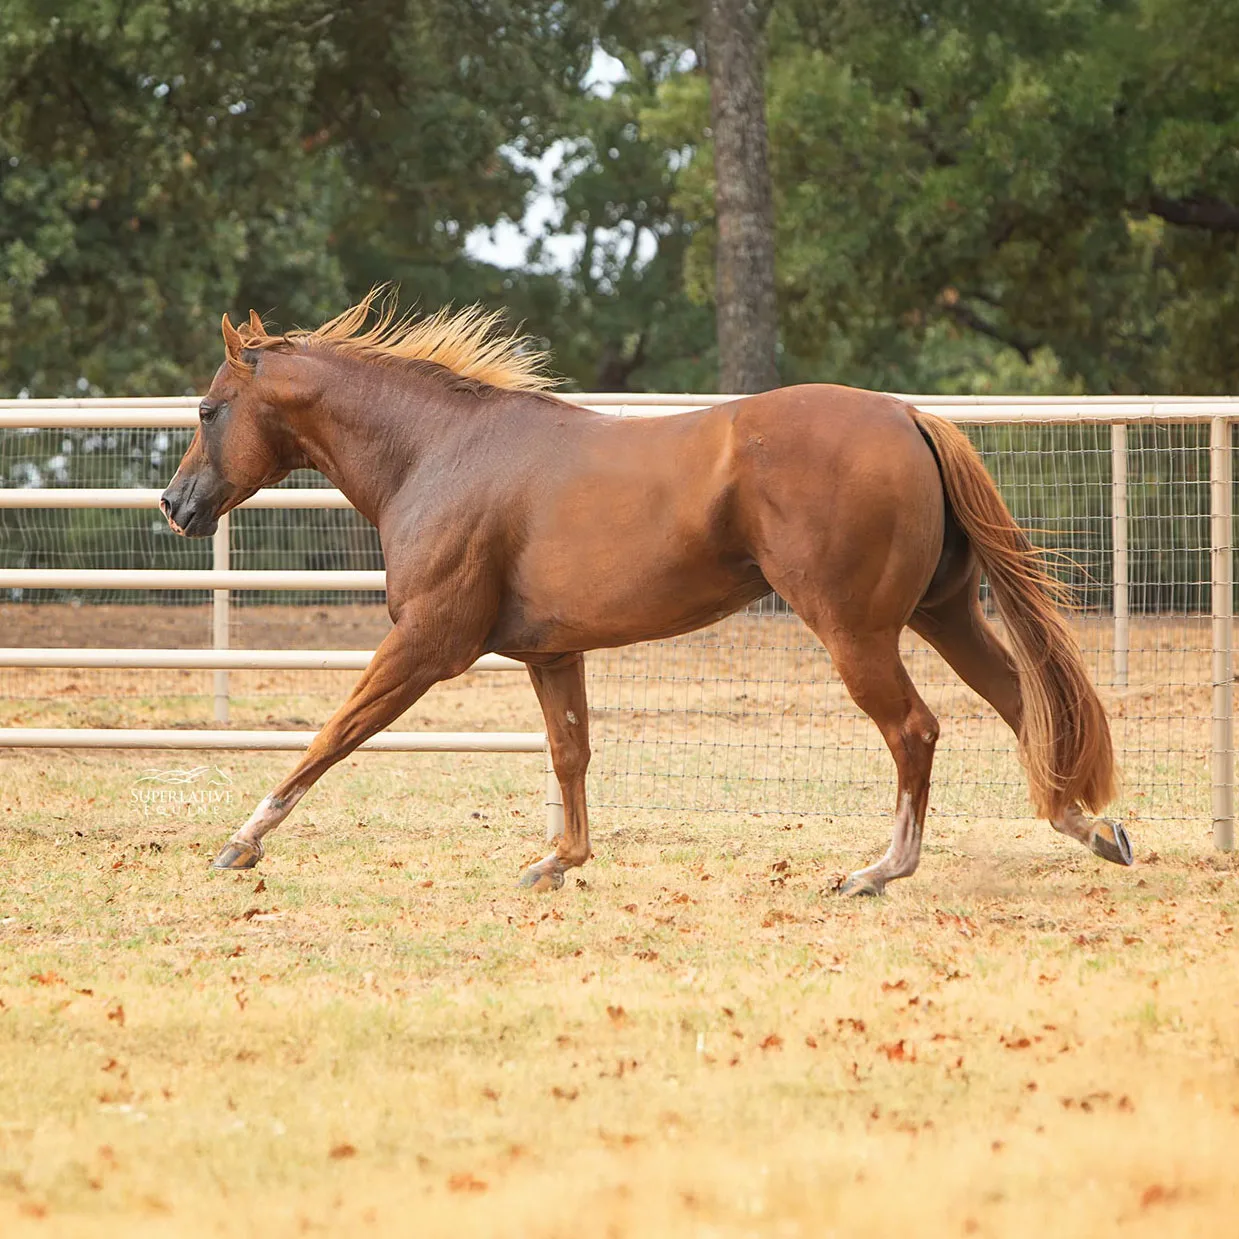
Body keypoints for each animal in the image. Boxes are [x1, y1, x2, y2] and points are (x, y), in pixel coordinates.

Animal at [160, 293, 1131, 896]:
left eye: (207, 409)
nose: (174, 504)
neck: (438, 452)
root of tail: (905, 414)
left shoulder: (426, 645)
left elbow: (333, 733)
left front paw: (241, 841)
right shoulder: (552, 654)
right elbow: (569, 754)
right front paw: (559, 861)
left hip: (857, 632)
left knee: (915, 730)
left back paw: (875, 871)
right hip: (945, 614)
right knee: (1020, 705)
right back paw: (1093, 830)